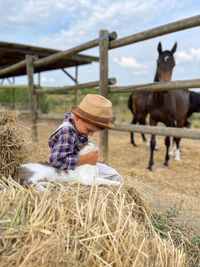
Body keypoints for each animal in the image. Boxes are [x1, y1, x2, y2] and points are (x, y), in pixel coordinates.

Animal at [147, 42, 189, 172]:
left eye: (173, 64)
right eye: (158, 62)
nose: (165, 87)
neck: (160, 102)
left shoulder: (169, 122)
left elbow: (167, 141)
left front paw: (165, 162)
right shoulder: (153, 121)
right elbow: (153, 142)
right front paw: (150, 165)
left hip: (181, 119)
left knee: (178, 136)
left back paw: (176, 155)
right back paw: (172, 153)